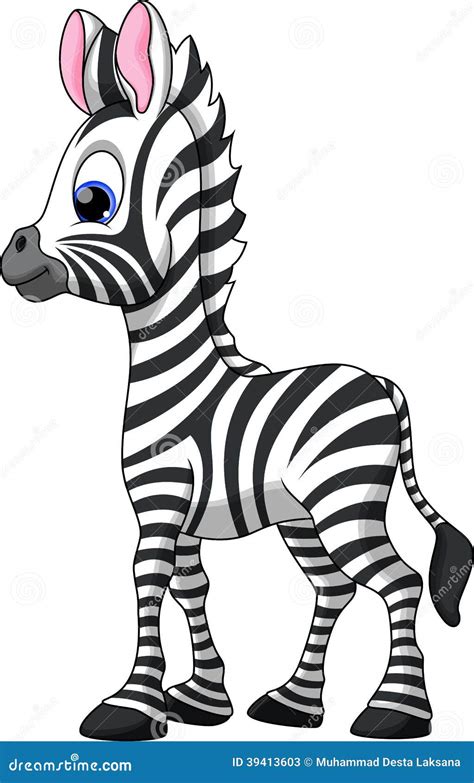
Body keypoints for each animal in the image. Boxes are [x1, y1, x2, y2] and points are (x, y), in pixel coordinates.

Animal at [1, 1, 472, 742]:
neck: (178, 375)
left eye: (94, 199)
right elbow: (190, 587)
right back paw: (294, 704)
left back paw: (394, 712)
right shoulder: (183, 514)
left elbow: (146, 580)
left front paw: (130, 707)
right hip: (302, 514)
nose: (10, 257)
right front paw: (200, 699)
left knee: (397, 580)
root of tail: (385, 385)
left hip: (344, 501)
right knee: (334, 585)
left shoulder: (161, 499)